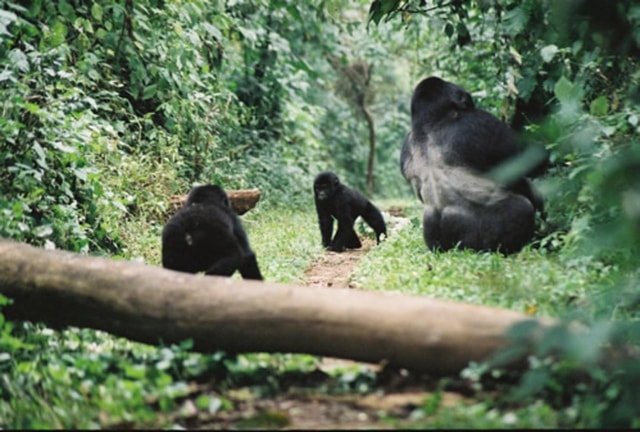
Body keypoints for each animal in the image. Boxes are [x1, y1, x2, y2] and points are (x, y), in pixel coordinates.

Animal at [400, 76, 544, 255]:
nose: (468, 98)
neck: (430, 121)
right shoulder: (480, 122)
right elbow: (524, 164)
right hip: (474, 242)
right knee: (521, 208)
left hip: (434, 241)